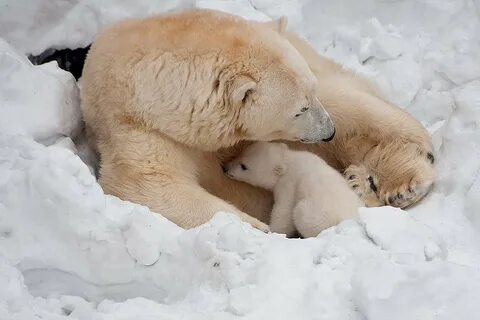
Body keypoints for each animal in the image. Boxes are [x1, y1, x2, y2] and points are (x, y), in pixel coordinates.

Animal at [223, 142, 362, 238]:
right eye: (240, 154)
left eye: (244, 166)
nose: (225, 168)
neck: (287, 160)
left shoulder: (288, 184)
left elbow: (283, 211)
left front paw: (272, 229)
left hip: (316, 215)